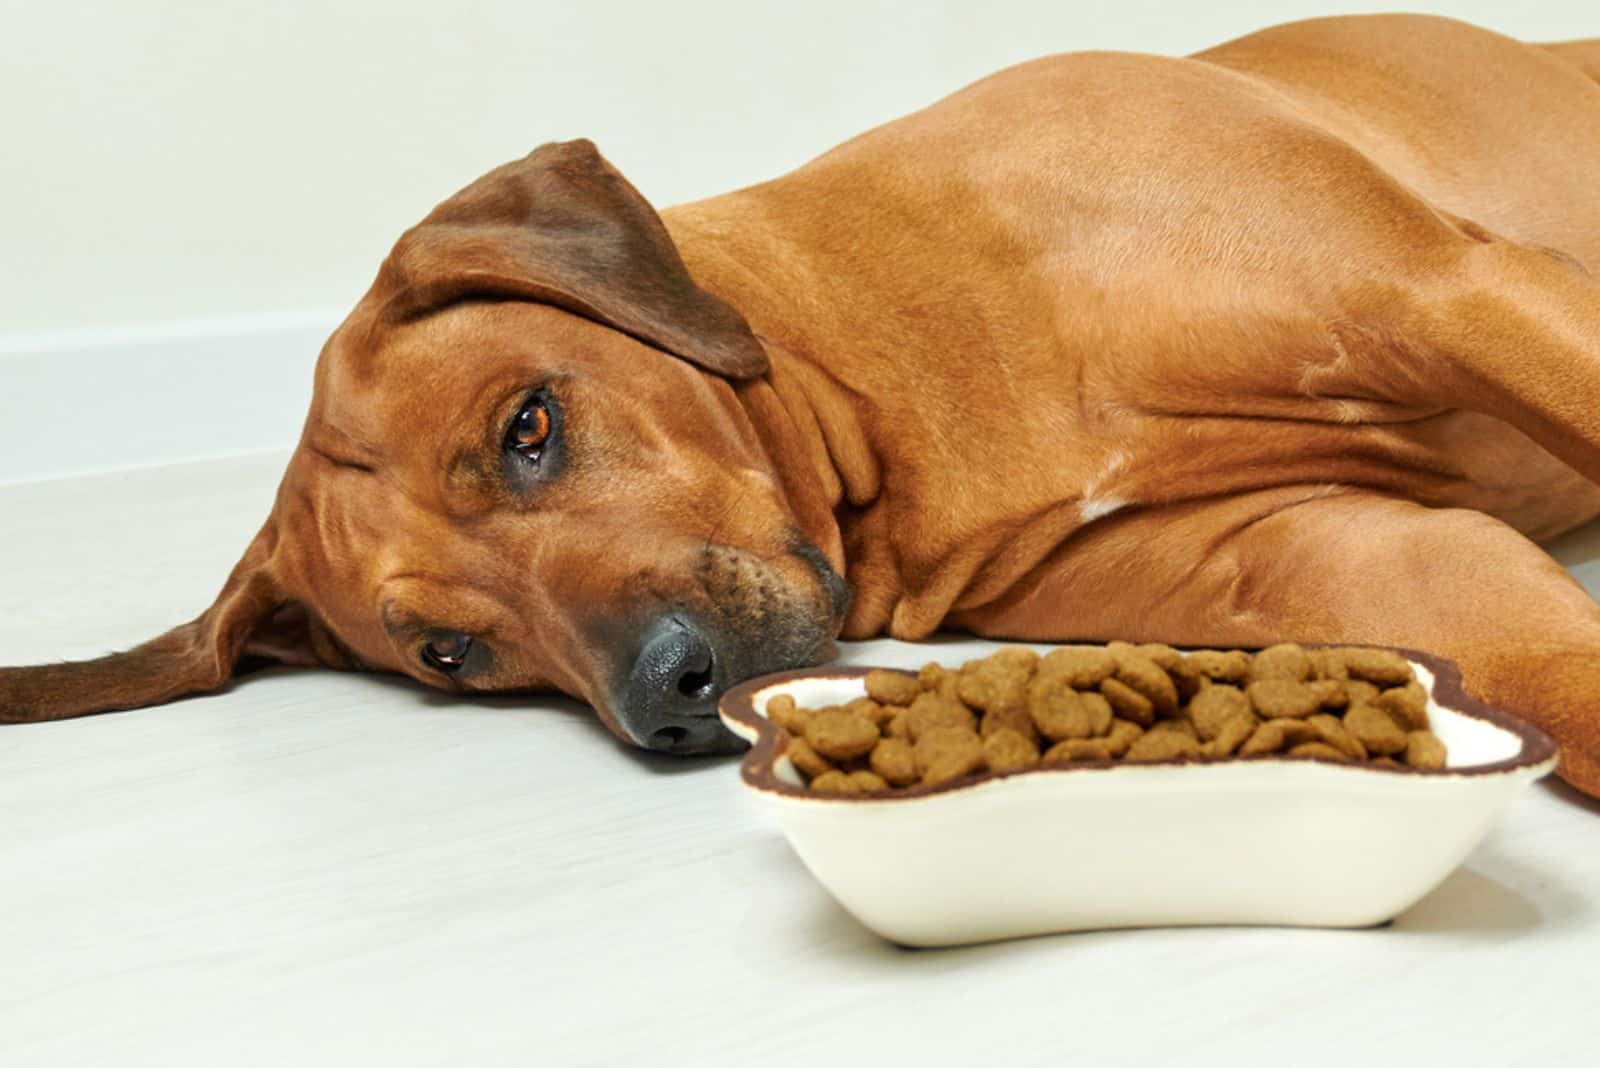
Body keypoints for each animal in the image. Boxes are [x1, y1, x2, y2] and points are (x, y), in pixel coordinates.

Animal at [3, 12, 1600, 793]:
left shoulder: (1456, 292)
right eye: (451, 654)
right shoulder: (1347, 556)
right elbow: (1537, 659)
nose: (664, 691)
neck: (908, 374)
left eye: (530, 428)